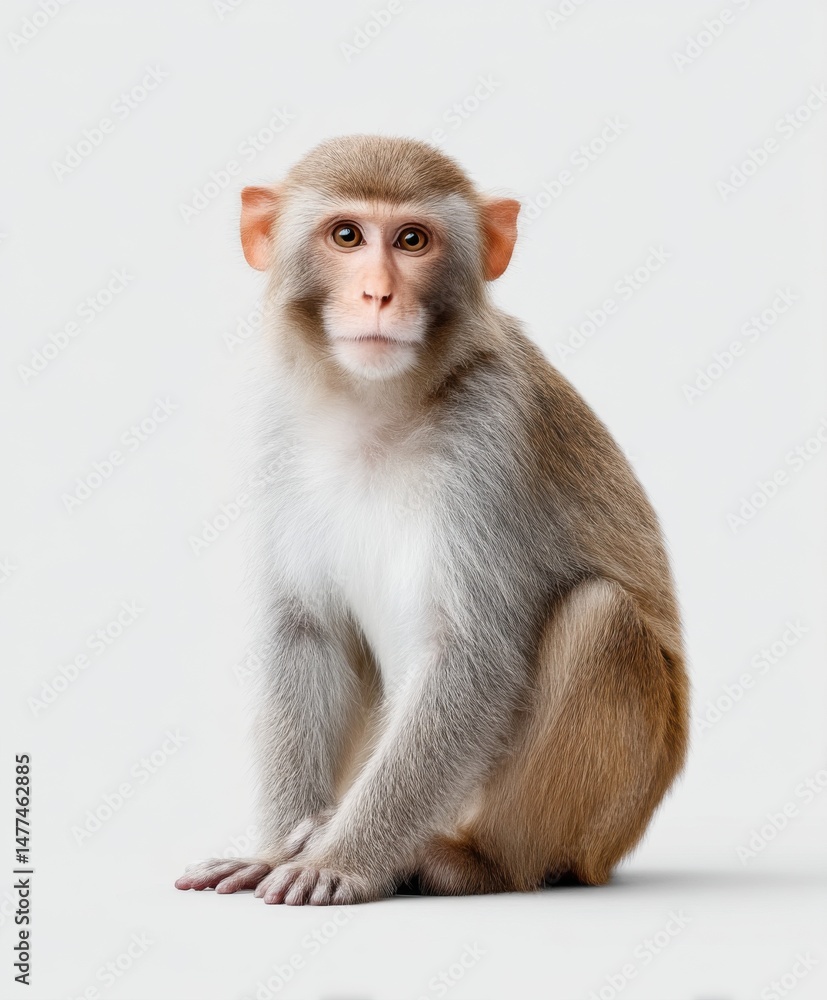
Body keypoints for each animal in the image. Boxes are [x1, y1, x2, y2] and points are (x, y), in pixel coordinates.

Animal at [174, 134, 689, 906]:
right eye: (347, 236)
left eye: (412, 240)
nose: (378, 294)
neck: (378, 408)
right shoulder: (280, 428)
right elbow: (309, 630)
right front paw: (271, 849)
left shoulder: (492, 435)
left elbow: (469, 657)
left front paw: (340, 860)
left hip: (609, 815)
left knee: (600, 618)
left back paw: (473, 863)